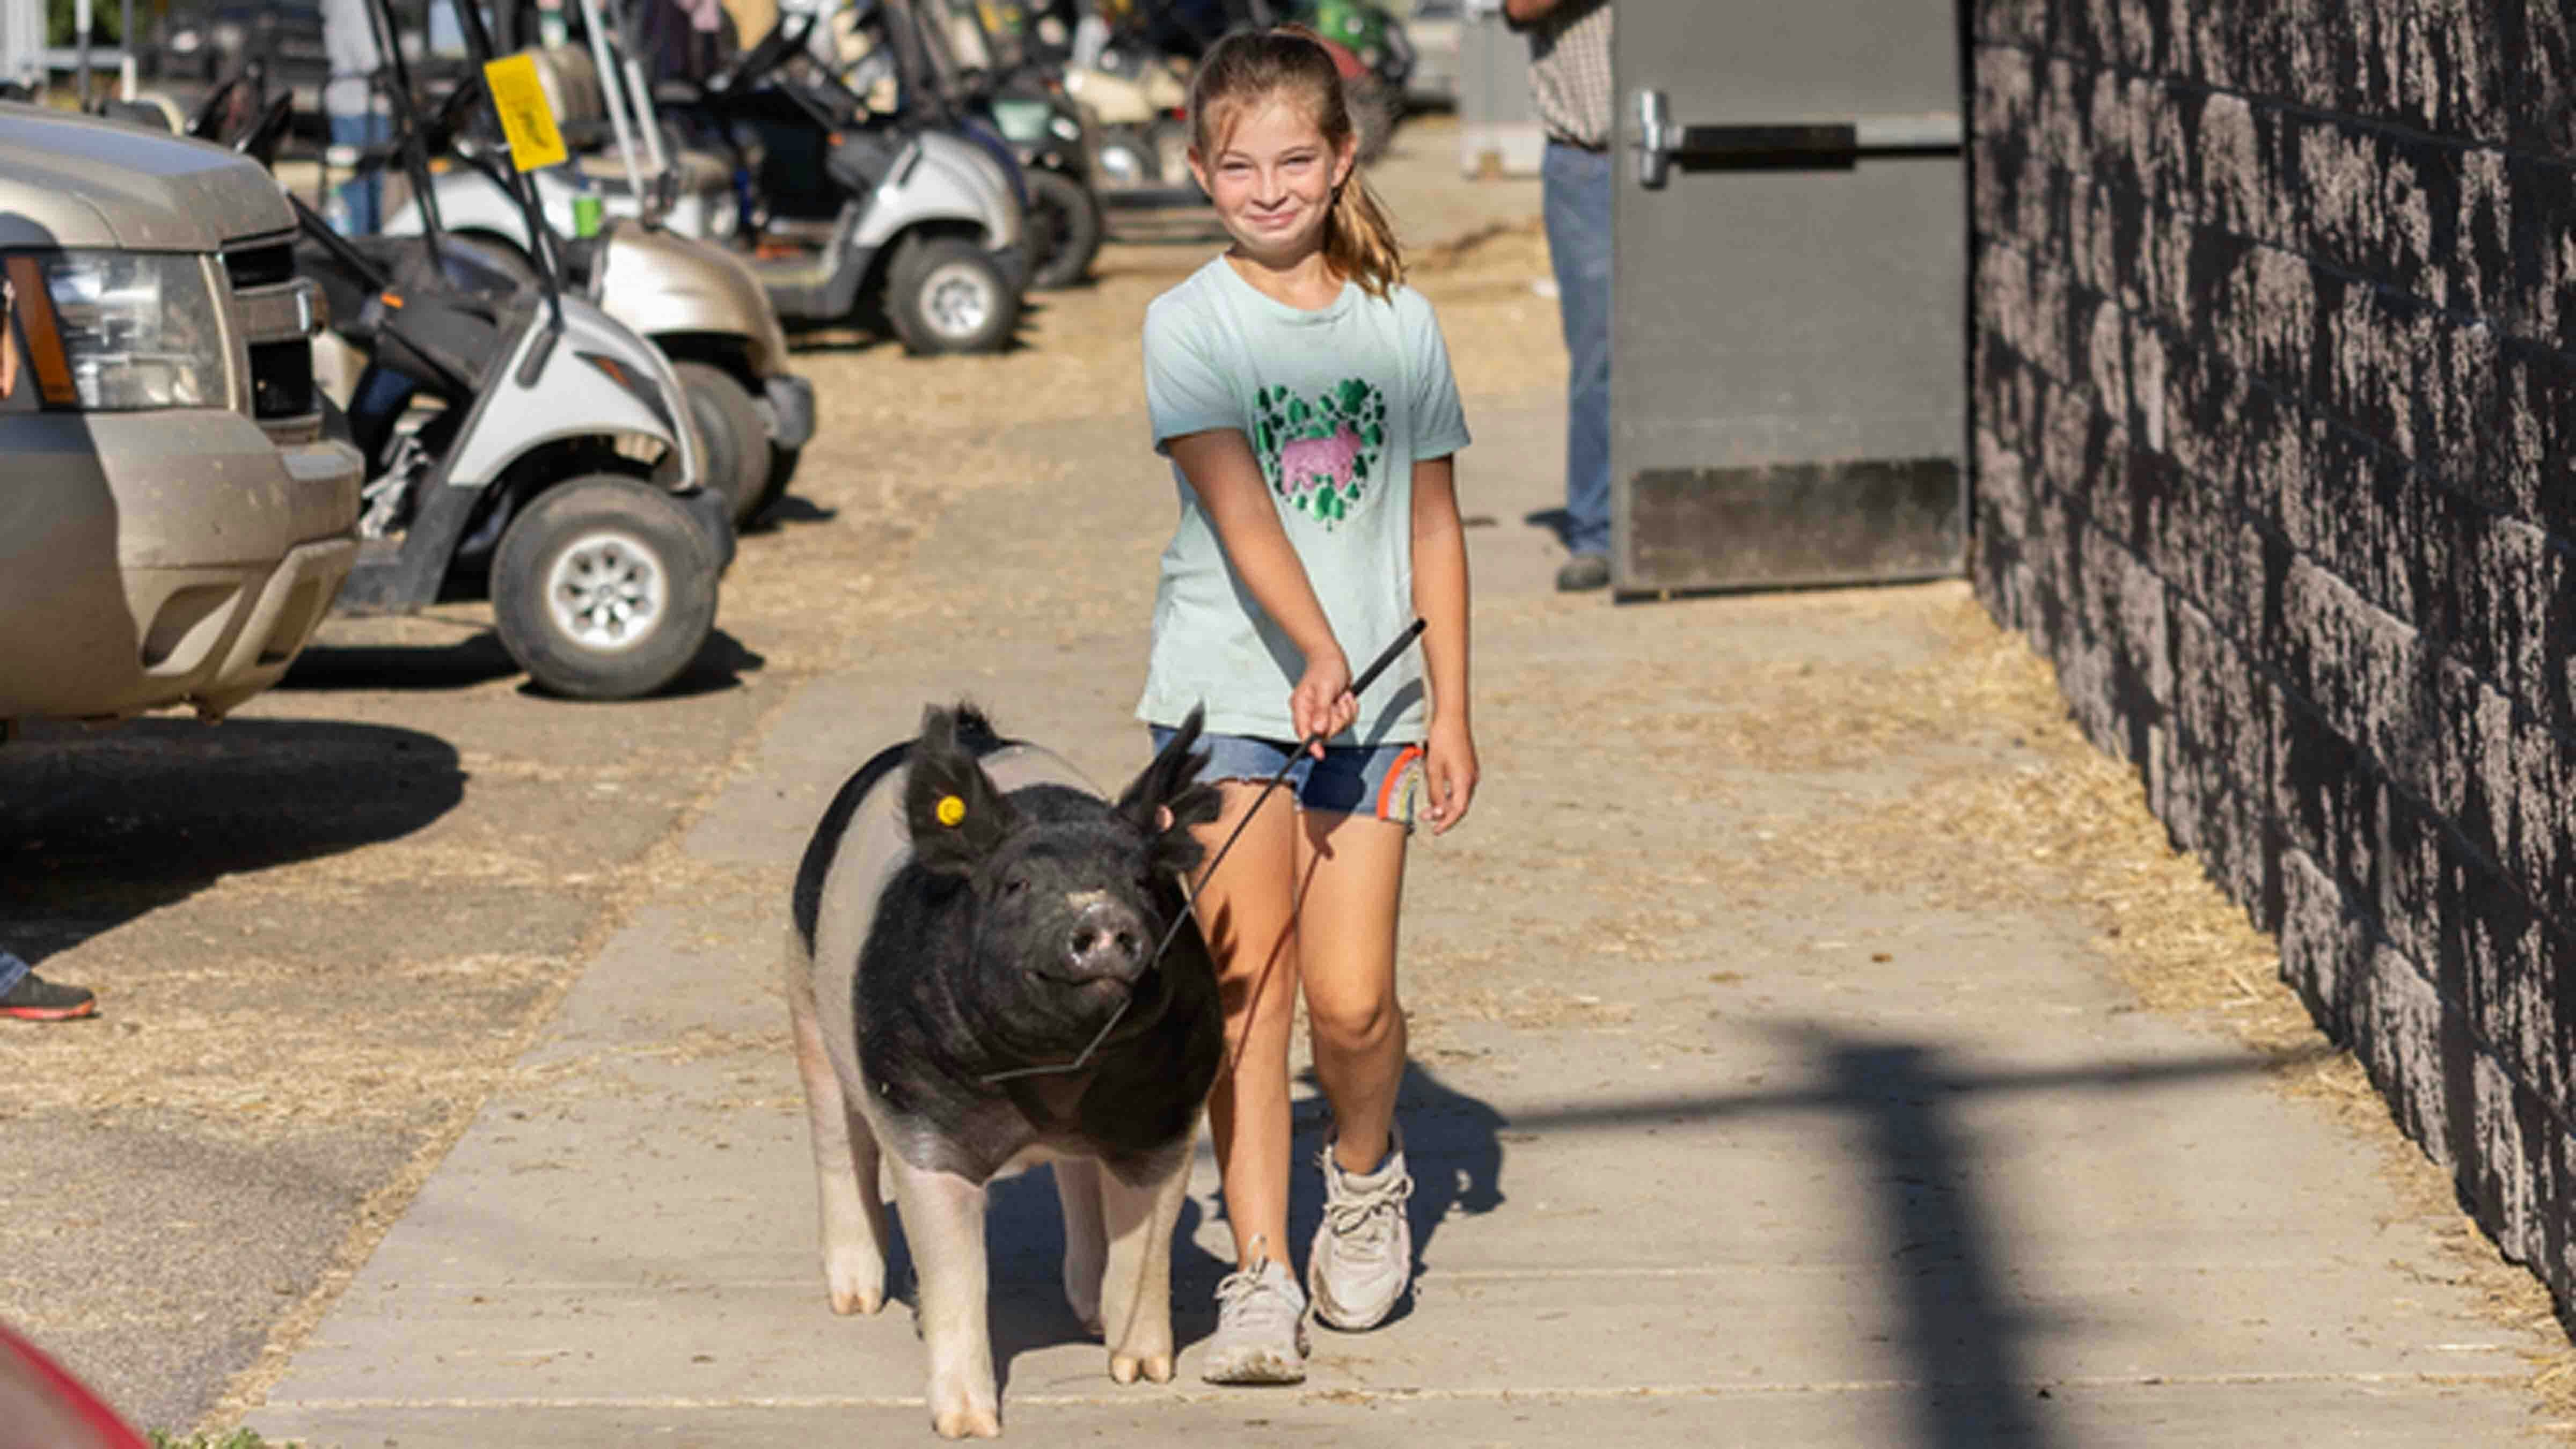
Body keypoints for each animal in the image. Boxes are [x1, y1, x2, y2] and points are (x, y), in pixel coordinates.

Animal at [783, 701, 1226, 1433]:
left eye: (1141, 882)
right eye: (1018, 884)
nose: (1102, 917)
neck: (1056, 1074)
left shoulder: (1168, 1112)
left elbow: (1146, 1242)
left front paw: (1140, 1372)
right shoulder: (922, 1121)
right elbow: (957, 1270)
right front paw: (968, 1425)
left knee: (1078, 1178)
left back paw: (1089, 1312)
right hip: (804, 992)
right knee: (837, 1140)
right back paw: (855, 1298)